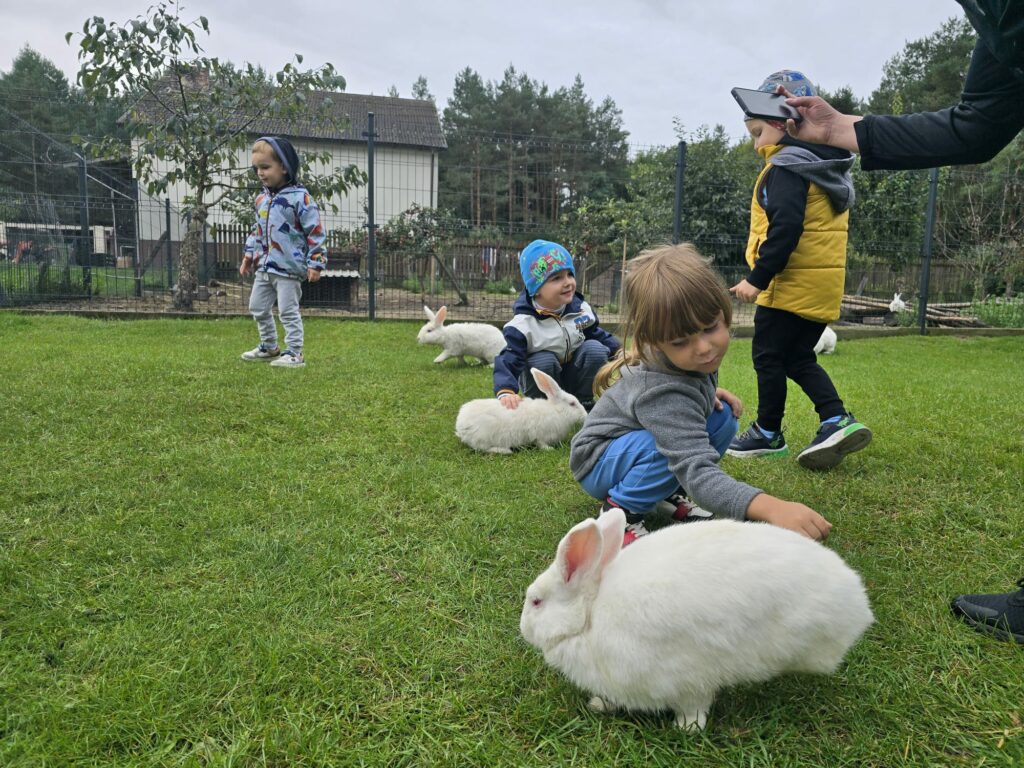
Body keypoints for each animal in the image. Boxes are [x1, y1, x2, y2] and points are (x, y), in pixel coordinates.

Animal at [455, 368, 587, 454]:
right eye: (572, 404)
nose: (585, 415)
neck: (556, 411)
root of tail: (460, 425)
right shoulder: (540, 435)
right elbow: (541, 443)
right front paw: (549, 449)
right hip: (483, 437)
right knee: (482, 448)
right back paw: (505, 450)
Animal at [520, 508, 873, 731]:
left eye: (536, 601)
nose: (523, 629)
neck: (591, 615)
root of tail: (857, 604)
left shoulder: (687, 677)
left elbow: (694, 706)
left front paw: (687, 729)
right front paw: (598, 704)